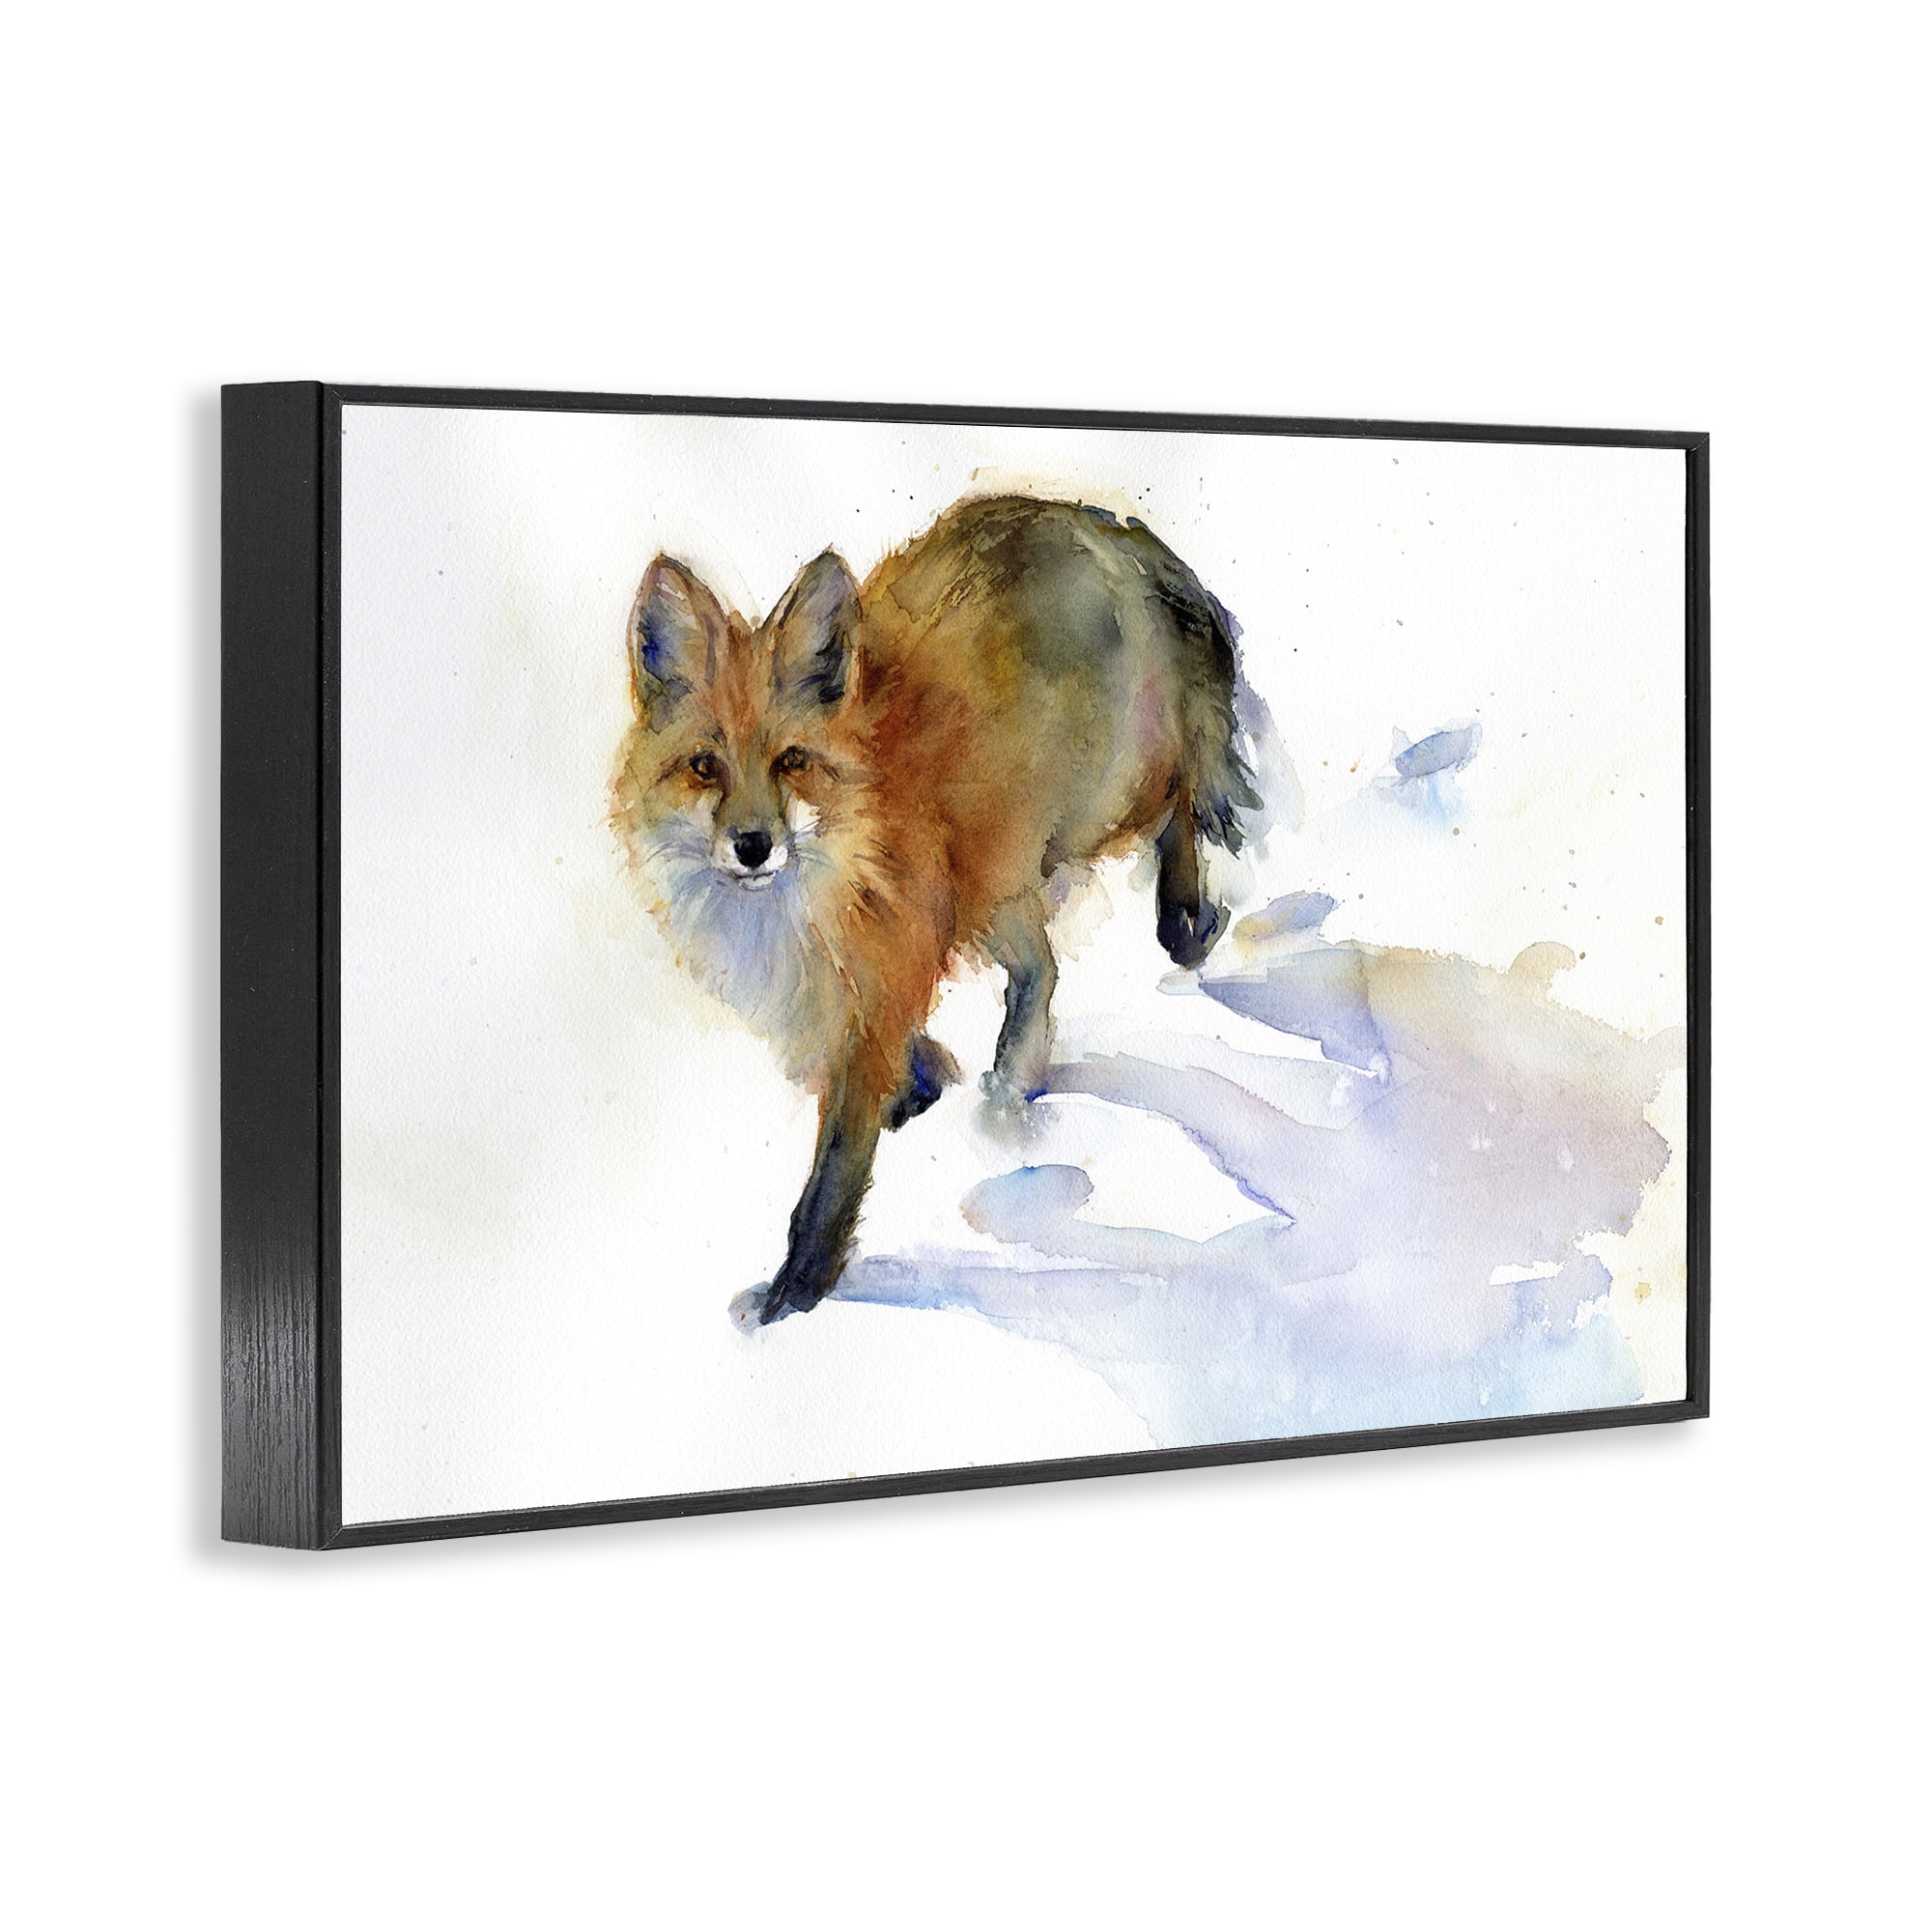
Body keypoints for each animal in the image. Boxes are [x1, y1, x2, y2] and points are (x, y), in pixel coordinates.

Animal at [611, 495, 1259, 1326]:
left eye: (791, 762)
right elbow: (901, 1058)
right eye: (704, 766)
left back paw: (1182, 919)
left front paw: (796, 1293)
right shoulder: (857, 986)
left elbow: (829, 1181)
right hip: (999, 876)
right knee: (1041, 970)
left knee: (1179, 792)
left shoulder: (880, 985)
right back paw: (1010, 1082)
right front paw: (922, 1088)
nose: (752, 846)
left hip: (1093, 810)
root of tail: (1090, 518)